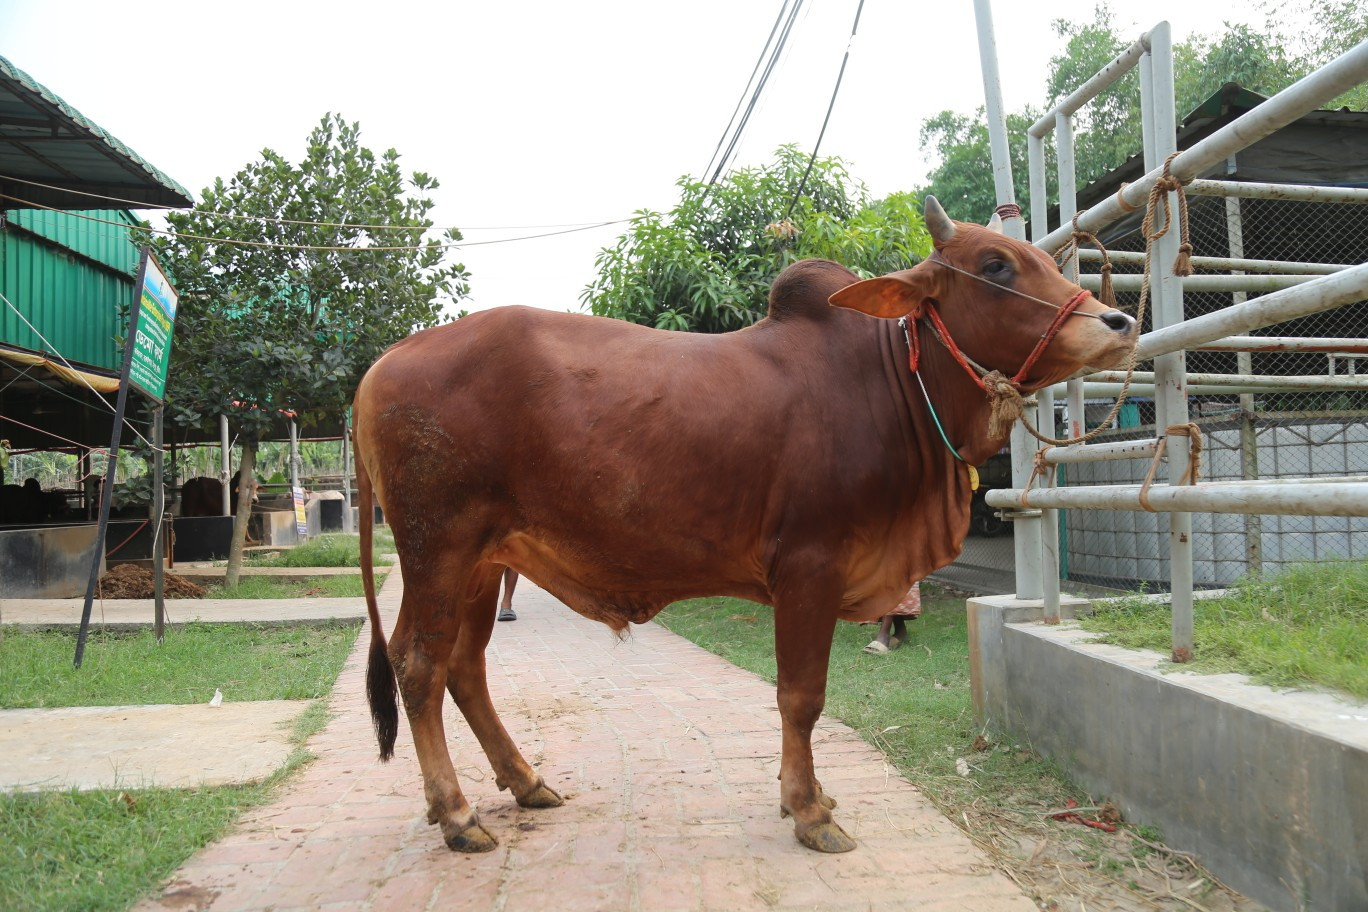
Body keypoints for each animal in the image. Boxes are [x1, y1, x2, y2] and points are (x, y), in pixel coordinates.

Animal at [352, 197, 1137, 855]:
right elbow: (801, 696)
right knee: (418, 665)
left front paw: (808, 796)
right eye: (996, 265)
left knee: (465, 667)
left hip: (484, 560)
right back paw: (457, 815)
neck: (892, 385)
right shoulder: (810, 566)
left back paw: (524, 783)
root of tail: (383, 363)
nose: (1119, 322)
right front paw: (809, 810)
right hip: (438, 546)